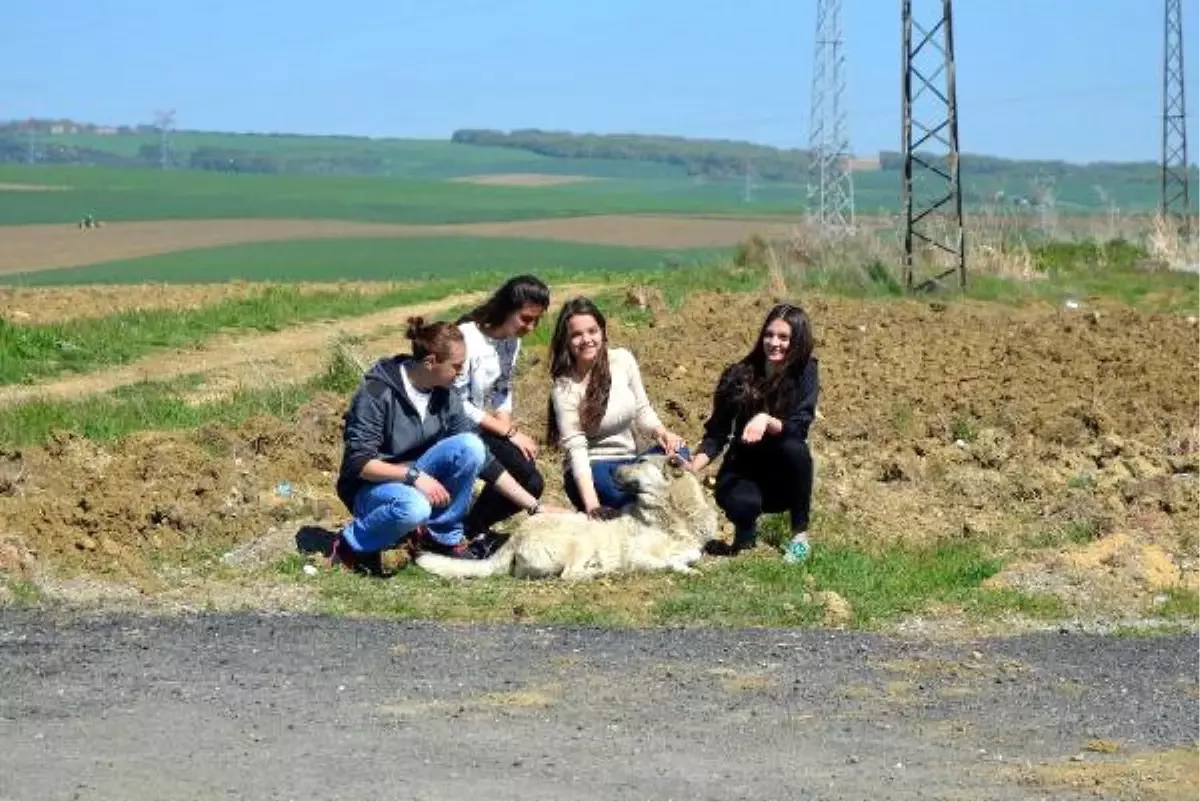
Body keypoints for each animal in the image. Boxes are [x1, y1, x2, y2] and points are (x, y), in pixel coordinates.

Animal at [415, 453, 710, 578]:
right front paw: (684, 570)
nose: (610, 470)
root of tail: (515, 537)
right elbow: (665, 562)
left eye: (640, 462)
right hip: (582, 538)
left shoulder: (690, 548)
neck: (673, 513)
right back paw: (603, 571)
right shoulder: (636, 555)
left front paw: (688, 565)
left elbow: (689, 556)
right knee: (569, 574)